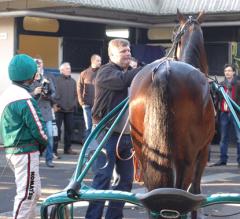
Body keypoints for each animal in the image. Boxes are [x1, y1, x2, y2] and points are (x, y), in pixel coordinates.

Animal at [130, 11, 215, 217]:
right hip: (187, 157)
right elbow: (195, 192)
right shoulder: (203, 151)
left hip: (144, 153)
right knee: (181, 193)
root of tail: (163, 72)